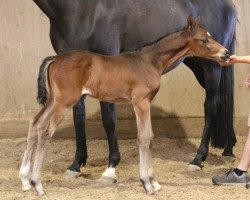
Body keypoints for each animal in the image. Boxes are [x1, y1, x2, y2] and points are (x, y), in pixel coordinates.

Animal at [19, 16, 230, 195]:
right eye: (204, 40)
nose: (226, 53)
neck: (149, 61)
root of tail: (55, 58)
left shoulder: (145, 102)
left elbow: (149, 137)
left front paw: (154, 182)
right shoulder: (141, 102)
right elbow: (145, 138)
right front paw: (147, 183)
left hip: (54, 99)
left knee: (35, 124)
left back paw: (25, 181)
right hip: (64, 101)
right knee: (46, 131)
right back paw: (38, 184)